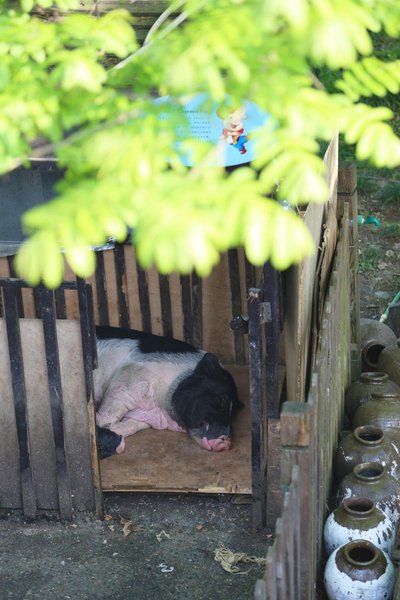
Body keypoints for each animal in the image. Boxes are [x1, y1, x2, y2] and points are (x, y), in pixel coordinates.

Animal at [94, 326, 243, 459]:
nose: (225, 442)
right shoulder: (131, 378)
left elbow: (131, 425)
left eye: (233, 413)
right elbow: (111, 409)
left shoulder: (145, 417)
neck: (160, 405)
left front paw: (116, 431)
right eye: (220, 398)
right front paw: (99, 423)